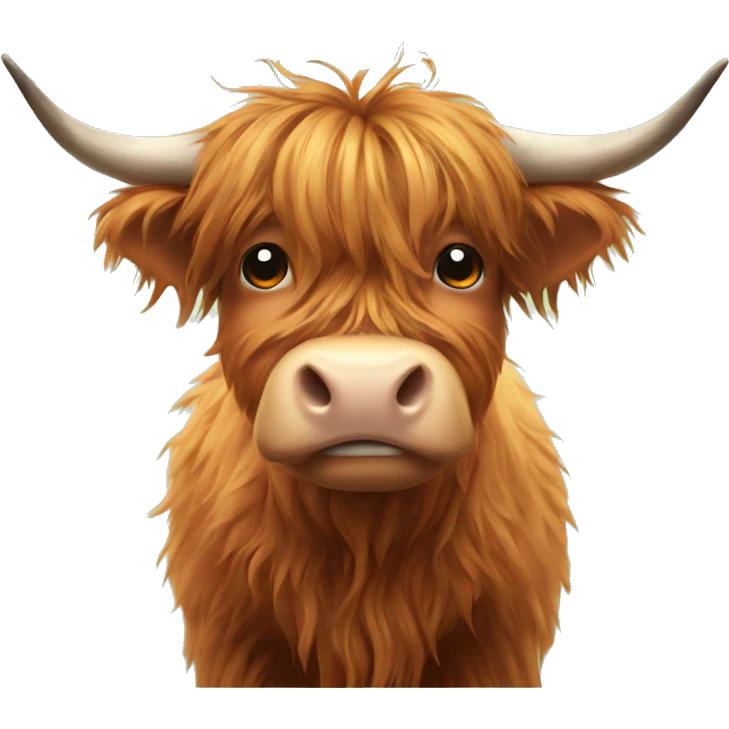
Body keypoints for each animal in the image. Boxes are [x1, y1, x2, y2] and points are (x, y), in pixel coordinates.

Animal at [4, 52, 726, 688]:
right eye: (262, 262)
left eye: (461, 262)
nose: (364, 388)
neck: (364, 544)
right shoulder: (238, 642)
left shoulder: (494, 644)